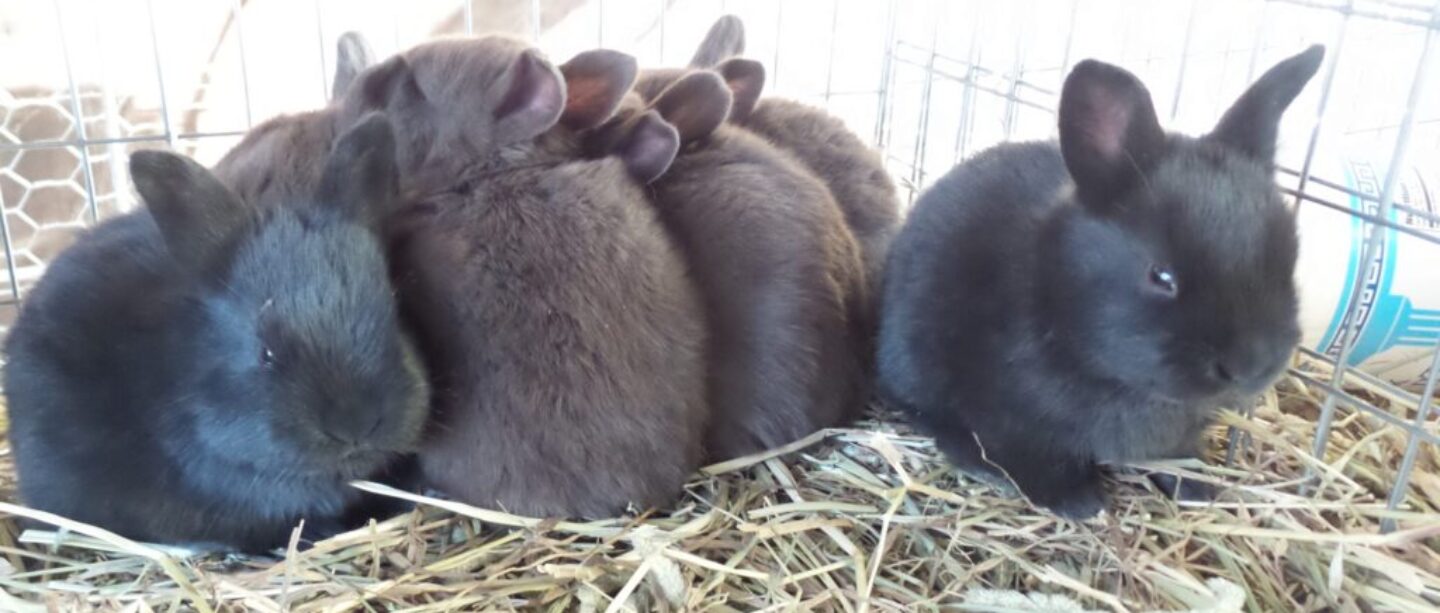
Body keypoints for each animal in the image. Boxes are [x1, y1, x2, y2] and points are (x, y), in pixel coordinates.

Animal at [877, 46, 1324, 519]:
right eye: (1161, 275)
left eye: (1290, 258)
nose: (1253, 366)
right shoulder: (1010, 419)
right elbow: (1028, 455)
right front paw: (1078, 501)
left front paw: (1195, 487)